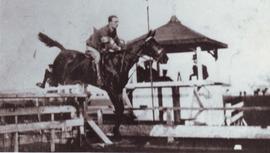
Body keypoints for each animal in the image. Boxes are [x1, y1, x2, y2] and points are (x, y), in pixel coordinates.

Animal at [36, 30, 169, 137]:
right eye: (152, 44)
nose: (166, 58)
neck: (119, 62)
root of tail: (63, 50)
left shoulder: (119, 89)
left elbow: (120, 109)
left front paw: (116, 132)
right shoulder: (111, 89)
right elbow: (119, 108)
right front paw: (114, 131)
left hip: (66, 80)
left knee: (51, 78)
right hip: (59, 76)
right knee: (48, 73)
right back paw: (41, 84)